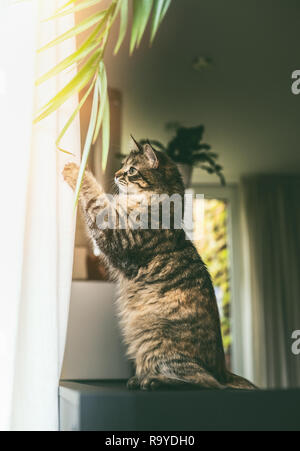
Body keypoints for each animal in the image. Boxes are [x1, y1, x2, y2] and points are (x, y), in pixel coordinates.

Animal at [63, 138, 255, 392]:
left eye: (131, 170)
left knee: (206, 383)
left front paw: (76, 170)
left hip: (155, 340)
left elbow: (96, 198)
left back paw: (153, 381)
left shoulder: (116, 235)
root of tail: (222, 370)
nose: (115, 174)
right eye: (122, 166)